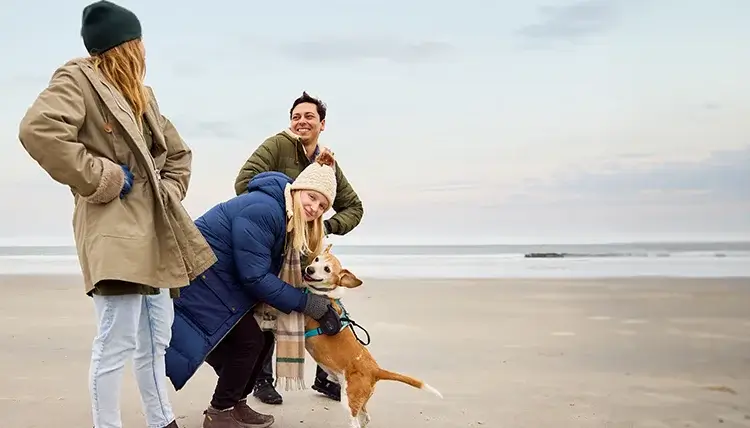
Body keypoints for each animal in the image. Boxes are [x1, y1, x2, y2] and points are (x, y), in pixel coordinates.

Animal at [302, 244, 444, 428]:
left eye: (327, 269)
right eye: (317, 259)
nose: (309, 269)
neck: (326, 295)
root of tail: (375, 370)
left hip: (349, 399)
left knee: (355, 421)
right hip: (359, 399)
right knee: (366, 417)